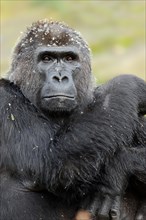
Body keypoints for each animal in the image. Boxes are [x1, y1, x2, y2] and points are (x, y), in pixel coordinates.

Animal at [0, 19, 146, 219]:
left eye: (70, 59)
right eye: (47, 58)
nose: (60, 77)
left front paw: (121, 167)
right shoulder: (4, 98)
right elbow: (55, 163)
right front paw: (130, 83)